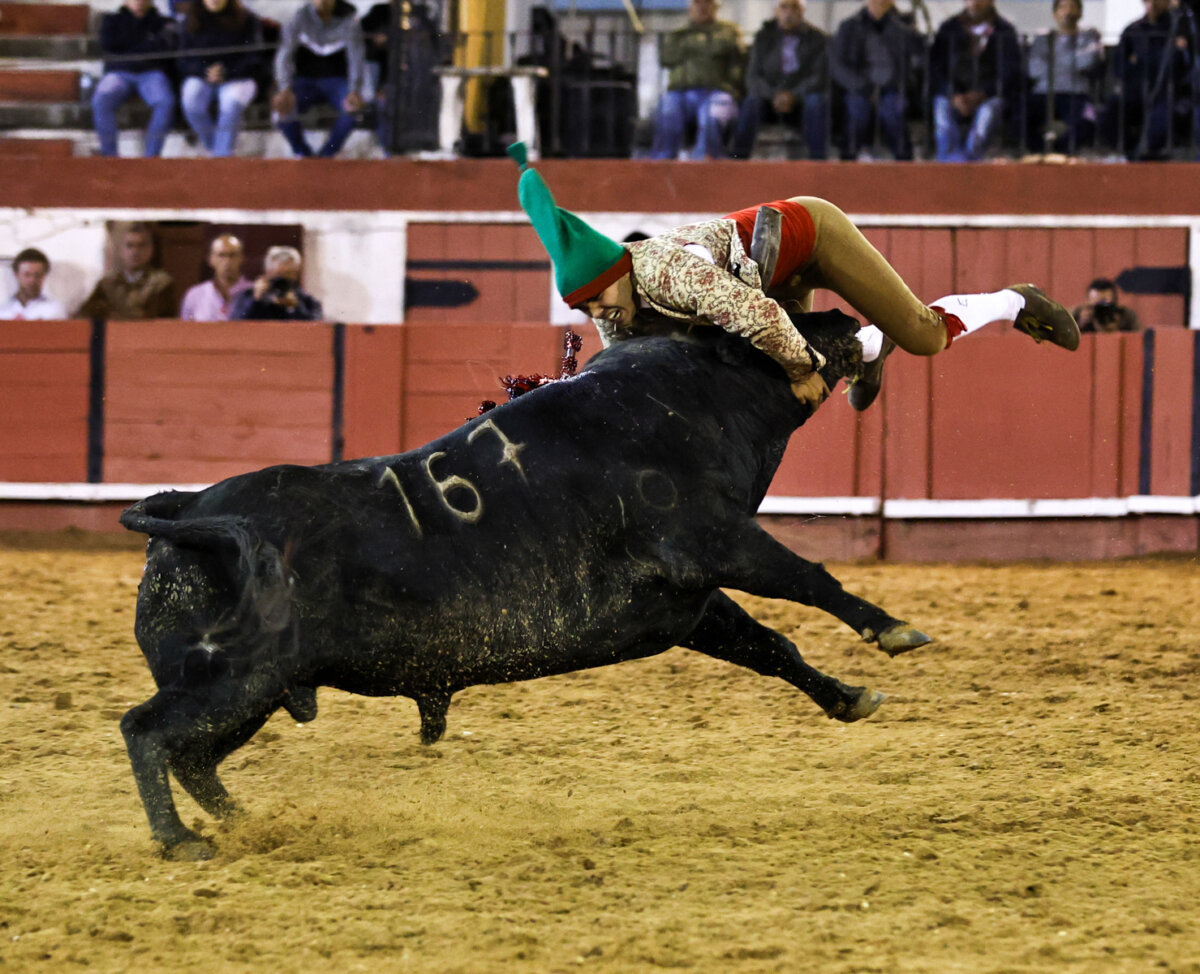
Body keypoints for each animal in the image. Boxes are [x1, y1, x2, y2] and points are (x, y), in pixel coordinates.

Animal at [119, 308, 931, 860]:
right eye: (782, 322)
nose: (844, 318)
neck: (692, 391)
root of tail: (187, 511)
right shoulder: (713, 540)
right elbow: (808, 579)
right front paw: (892, 630)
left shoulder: (690, 606)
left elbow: (772, 647)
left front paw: (849, 696)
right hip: (234, 679)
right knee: (148, 732)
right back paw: (181, 840)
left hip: (255, 690)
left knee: (192, 755)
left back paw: (240, 823)